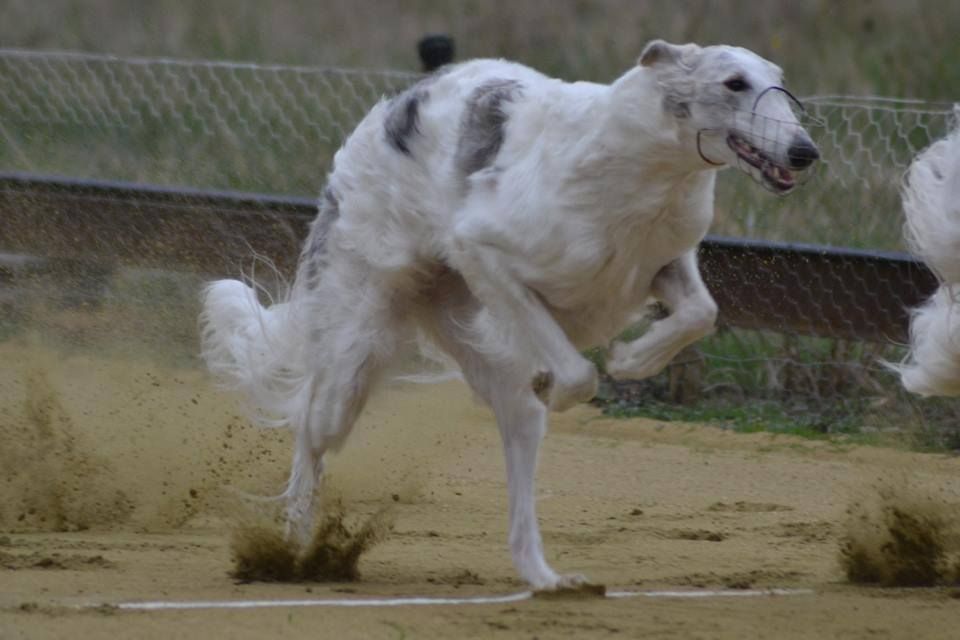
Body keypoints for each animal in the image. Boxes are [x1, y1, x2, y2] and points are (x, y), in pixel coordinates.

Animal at [201, 41, 816, 592]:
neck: (635, 167)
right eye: (734, 83)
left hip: (487, 370)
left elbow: (700, 313)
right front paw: (584, 377)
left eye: (779, 80)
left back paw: (546, 578)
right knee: (309, 432)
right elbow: (579, 373)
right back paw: (293, 547)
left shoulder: (661, 262)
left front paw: (632, 358)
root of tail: (385, 115)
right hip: (353, 355)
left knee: (518, 480)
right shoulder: (483, 252)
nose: (804, 151)